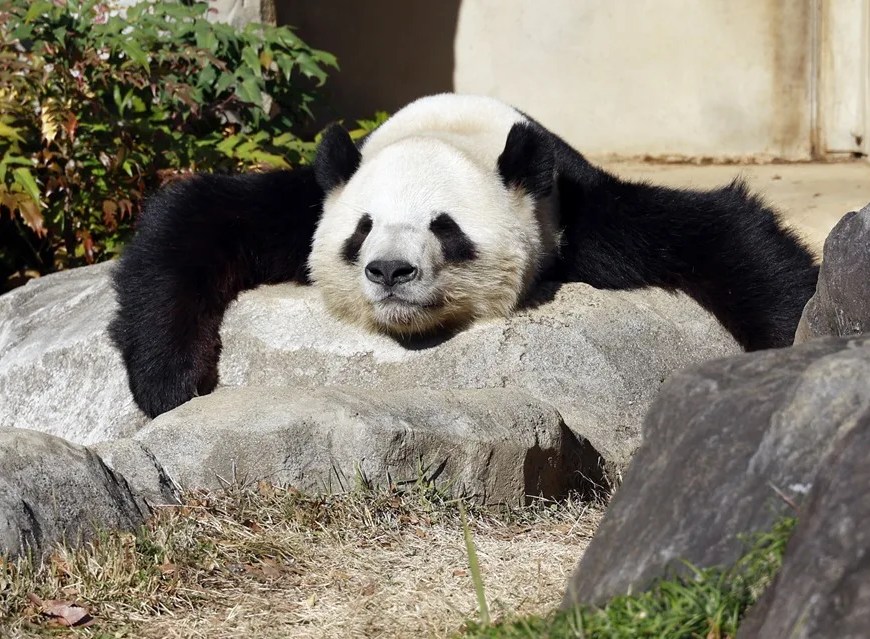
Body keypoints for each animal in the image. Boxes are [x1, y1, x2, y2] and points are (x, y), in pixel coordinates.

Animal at [109, 93, 819, 418]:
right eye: (363, 230)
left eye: (445, 229)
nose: (390, 271)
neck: (454, 128)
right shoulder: (311, 200)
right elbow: (194, 218)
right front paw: (169, 380)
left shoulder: (572, 210)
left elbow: (719, 233)